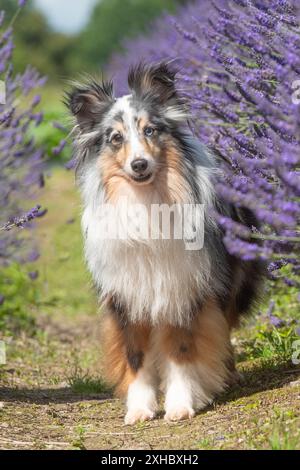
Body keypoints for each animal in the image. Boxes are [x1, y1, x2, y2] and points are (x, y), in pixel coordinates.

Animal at [67, 60, 264, 424]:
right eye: (116, 138)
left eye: (150, 130)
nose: (139, 164)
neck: (146, 202)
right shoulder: (127, 297)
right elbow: (135, 357)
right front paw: (139, 409)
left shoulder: (184, 289)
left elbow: (182, 352)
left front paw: (180, 405)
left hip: (231, 280)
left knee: (225, 324)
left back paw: (229, 374)